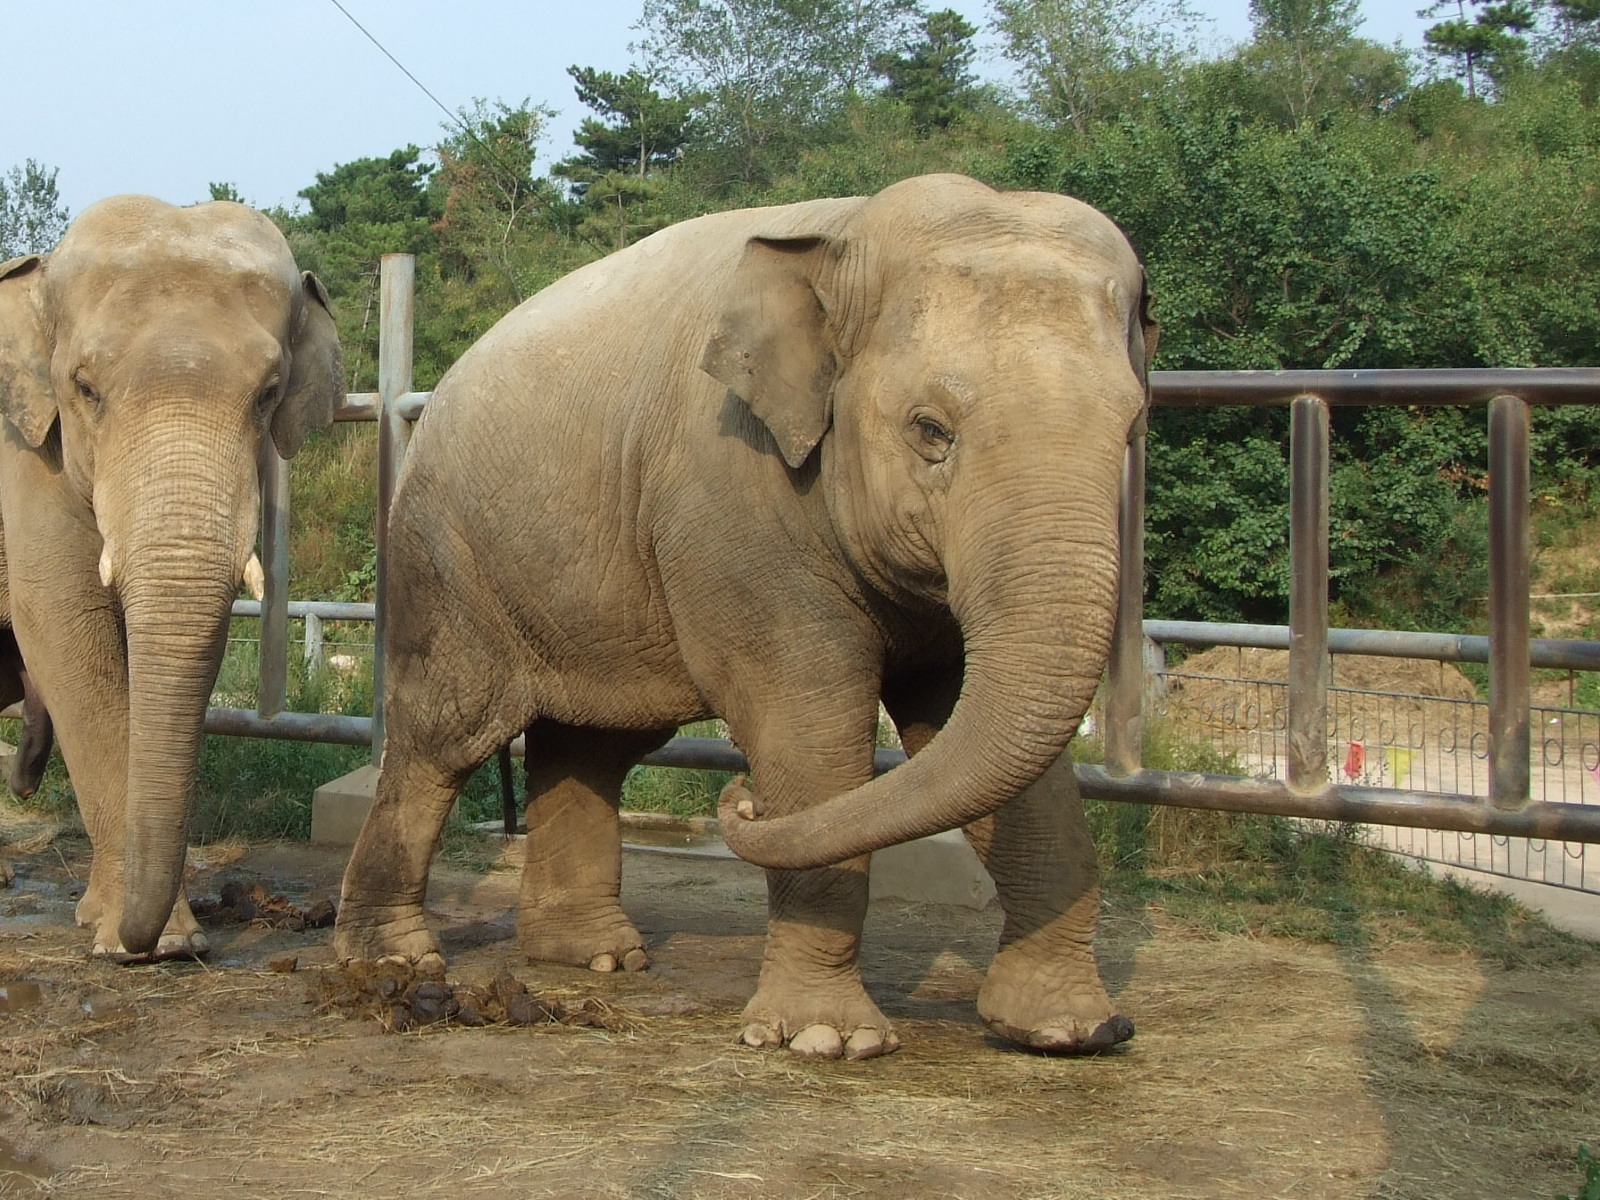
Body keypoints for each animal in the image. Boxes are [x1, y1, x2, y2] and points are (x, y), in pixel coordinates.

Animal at [0, 196, 344, 960]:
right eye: (86, 389)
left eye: (268, 394)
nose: (151, 940)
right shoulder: (28, 460)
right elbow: (66, 626)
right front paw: (131, 943)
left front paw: (163, 940)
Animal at [335, 173, 1153, 1058]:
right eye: (931, 431)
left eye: (1132, 425)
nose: (742, 802)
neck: (847, 235)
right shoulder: (735, 492)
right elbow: (807, 713)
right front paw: (827, 1040)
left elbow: (974, 726)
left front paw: (1074, 1029)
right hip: (448, 555)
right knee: (445, 736)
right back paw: (397, 962)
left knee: (591, 742)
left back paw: (593, 958)